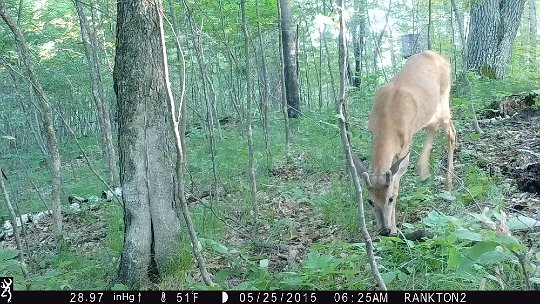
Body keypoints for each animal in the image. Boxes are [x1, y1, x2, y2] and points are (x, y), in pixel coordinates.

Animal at [354, 50, 456, 238]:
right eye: (370, 201)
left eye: (390, 199)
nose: (384, 230)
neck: (386, 119)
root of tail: (441, 56)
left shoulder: (405, 142)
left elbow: (396, 183)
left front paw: (395, 229)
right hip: (429, 110)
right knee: (433, 127)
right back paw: (424, 172)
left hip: (444, 99)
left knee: (451, 132)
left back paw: (448, 184)